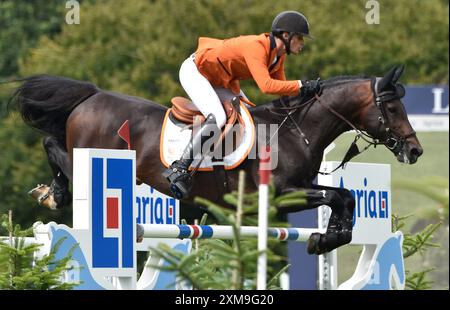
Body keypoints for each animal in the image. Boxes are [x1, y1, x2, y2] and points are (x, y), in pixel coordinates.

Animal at [12, 65, 424, 254]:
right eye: (391, 106)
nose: (415, 150)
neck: (295, 130)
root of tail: (92, 96)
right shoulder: (280, 194)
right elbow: (337, 196)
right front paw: (328, 237)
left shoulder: (301, 188)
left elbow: (344, 196)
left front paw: (329, 237)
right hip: (88, 154)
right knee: (55, 149)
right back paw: (54, 194)